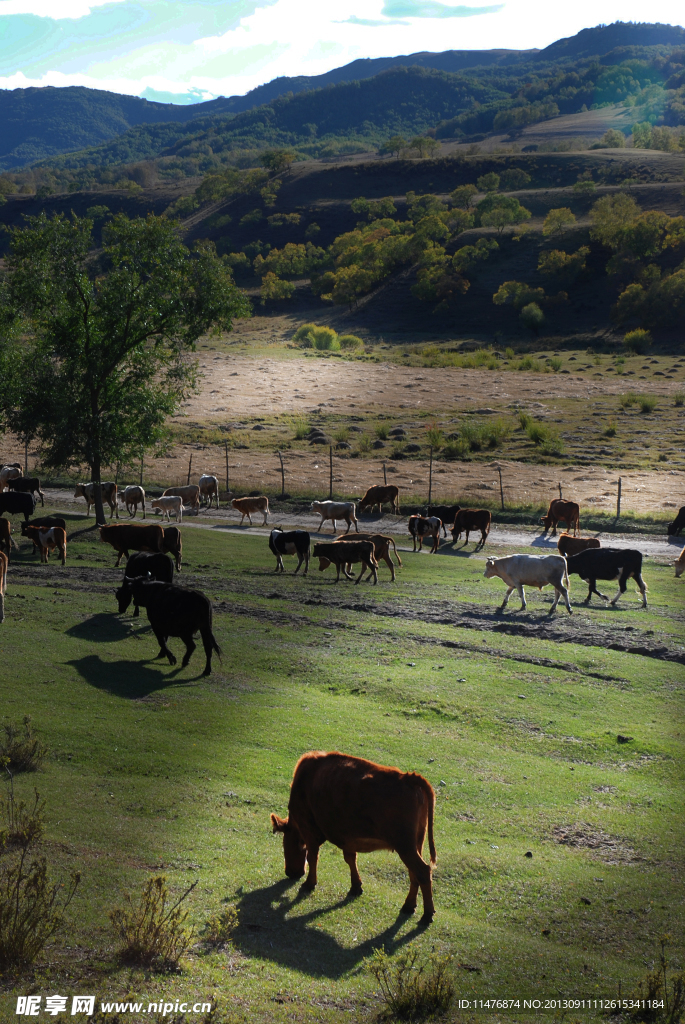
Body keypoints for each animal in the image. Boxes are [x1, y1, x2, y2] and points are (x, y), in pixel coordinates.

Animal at [270, 753, 436, 921]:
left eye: (284, 845)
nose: (290, 873)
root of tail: (409, 778)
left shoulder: (309, 831)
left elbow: (312, 858)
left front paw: (309, 884)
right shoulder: (347, 839)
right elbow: (350, 859)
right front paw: (356, 887)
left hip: (405, 846)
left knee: (422, 871)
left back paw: (427, 915)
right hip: (416, 844)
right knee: (414, 874)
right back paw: (409, 906)